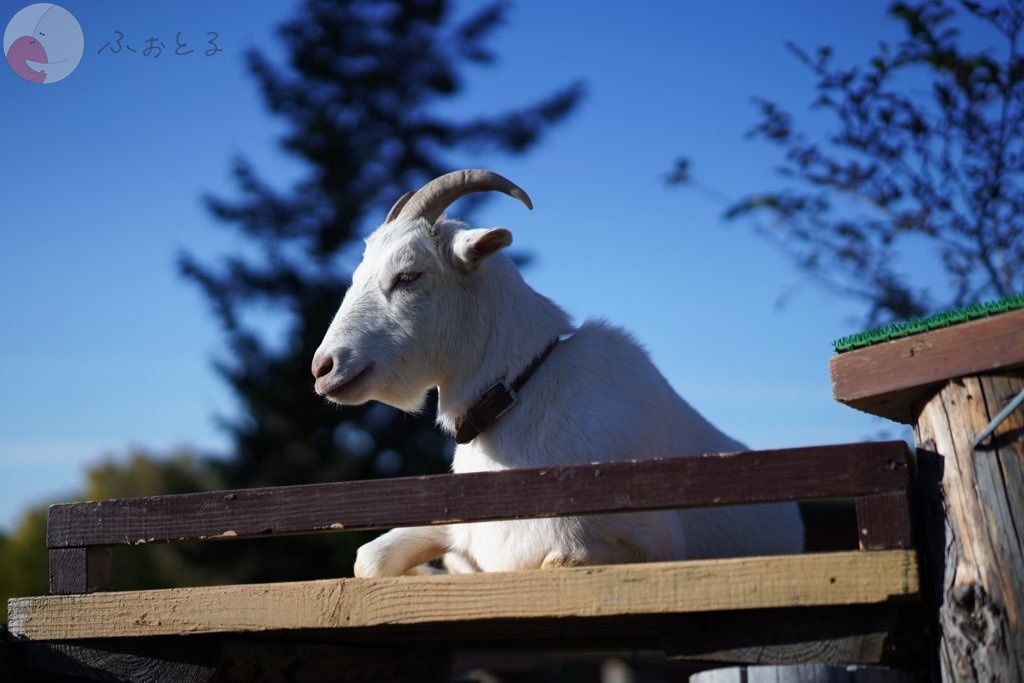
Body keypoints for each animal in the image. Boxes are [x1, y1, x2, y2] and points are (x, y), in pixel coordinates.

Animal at [307, 169, 802, 577]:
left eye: (409, 275)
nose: (323, 368)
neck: (516, 399)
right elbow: (368, 561)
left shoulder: (654, 541)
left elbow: (556, 561)